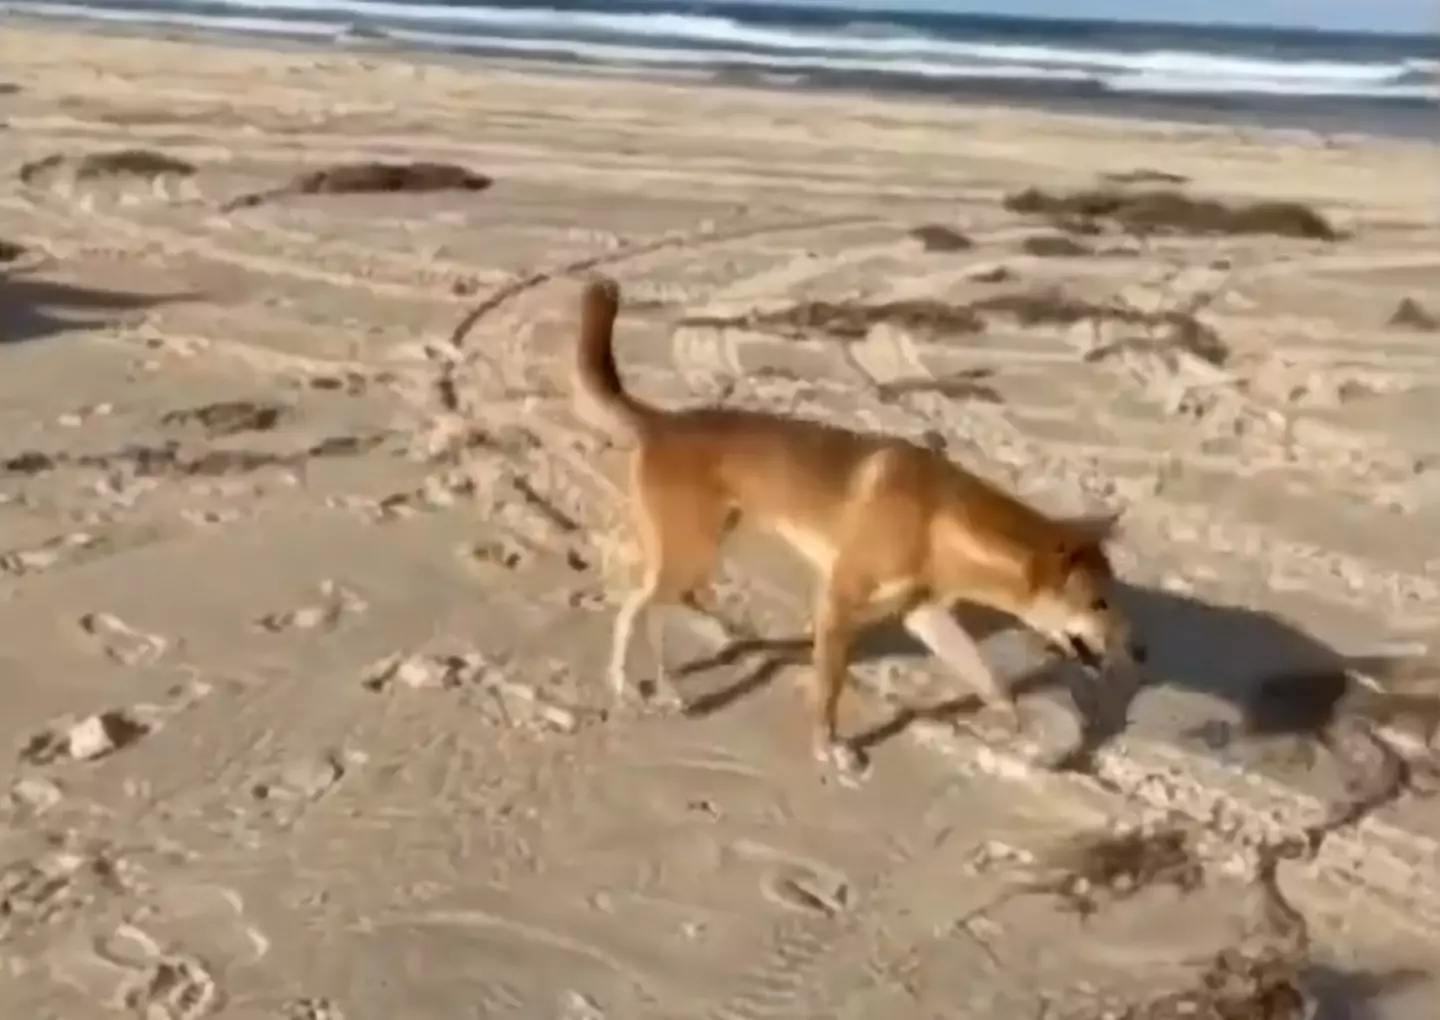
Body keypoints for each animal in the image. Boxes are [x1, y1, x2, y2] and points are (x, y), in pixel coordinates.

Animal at [567, 275, 1140, 777]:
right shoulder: (838, 604)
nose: (1139, 653)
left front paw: (1024, 739)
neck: (938, 521)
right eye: (1099, 603)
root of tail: (664, 422)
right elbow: (830, 690)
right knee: (635, 610)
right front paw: (831, 751)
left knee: (647, 608)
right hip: (693, 552)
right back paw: (638, 686)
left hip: (693, 549)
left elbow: (991, 681)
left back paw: (652, 683)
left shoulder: (924, 615)